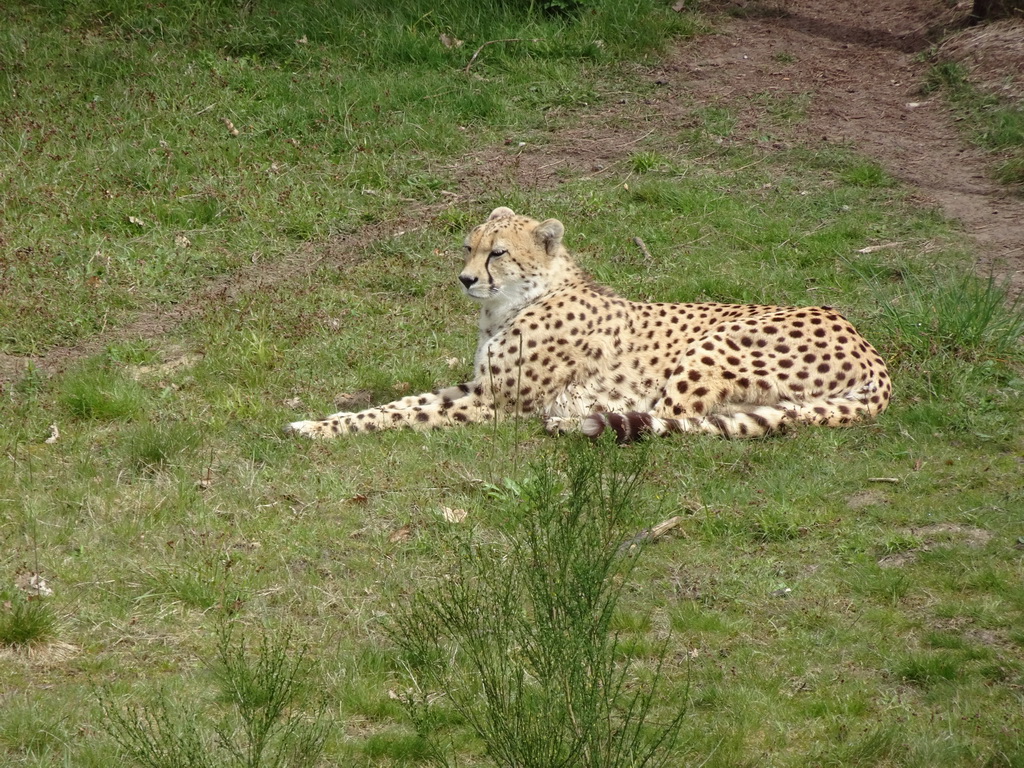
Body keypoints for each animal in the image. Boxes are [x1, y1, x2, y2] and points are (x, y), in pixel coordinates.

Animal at [286, 207, 888, 442]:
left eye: (497, 253)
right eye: (468, 247)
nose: (464, 279)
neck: (515, 301)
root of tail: (868, 346)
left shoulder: (495, 405)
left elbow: (400, 414)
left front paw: (319, 429)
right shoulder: (477, 386)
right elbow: (402, 400)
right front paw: (324, 417)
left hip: (712, 347)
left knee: (674, 420)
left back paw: (574, 421)